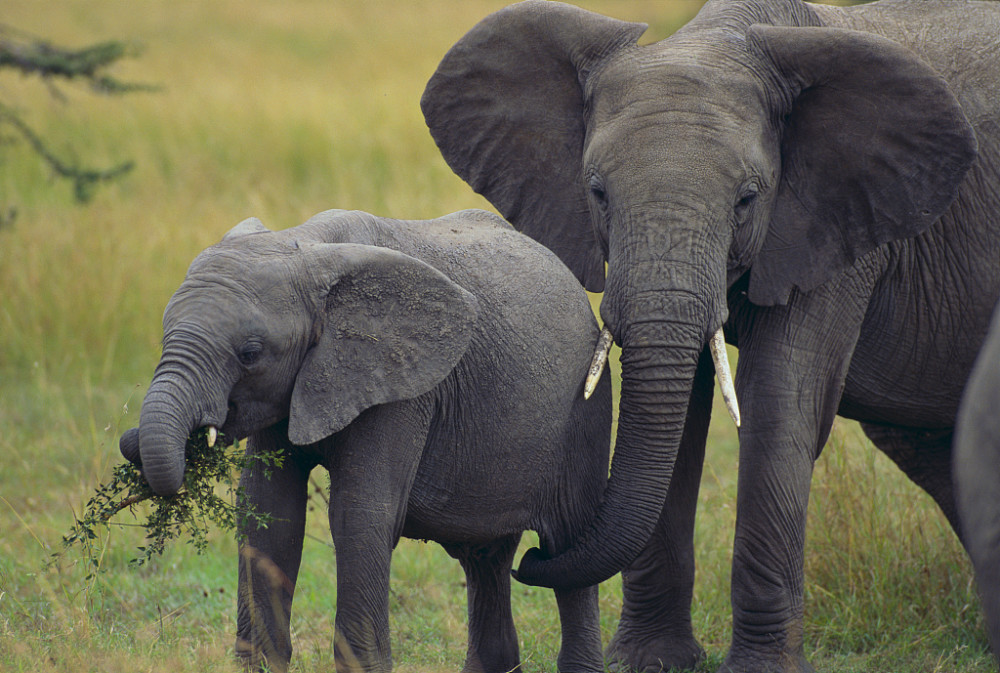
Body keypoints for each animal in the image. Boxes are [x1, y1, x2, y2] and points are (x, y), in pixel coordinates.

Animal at [121, 210, 612, 672]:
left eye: (250, 354)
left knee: (567, 544)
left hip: (586, 409)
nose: (132, 441)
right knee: (485, 558)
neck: (305, 246)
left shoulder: (402, 385)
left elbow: (358, 516)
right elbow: (269, 512)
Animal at [422, 2, 1000, 668]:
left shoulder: (838, 223)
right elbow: (681, 419)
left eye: (747, 199)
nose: (532, 555)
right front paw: (649, 661)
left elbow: (778, 403)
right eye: (597, 192)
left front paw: (759, 668)